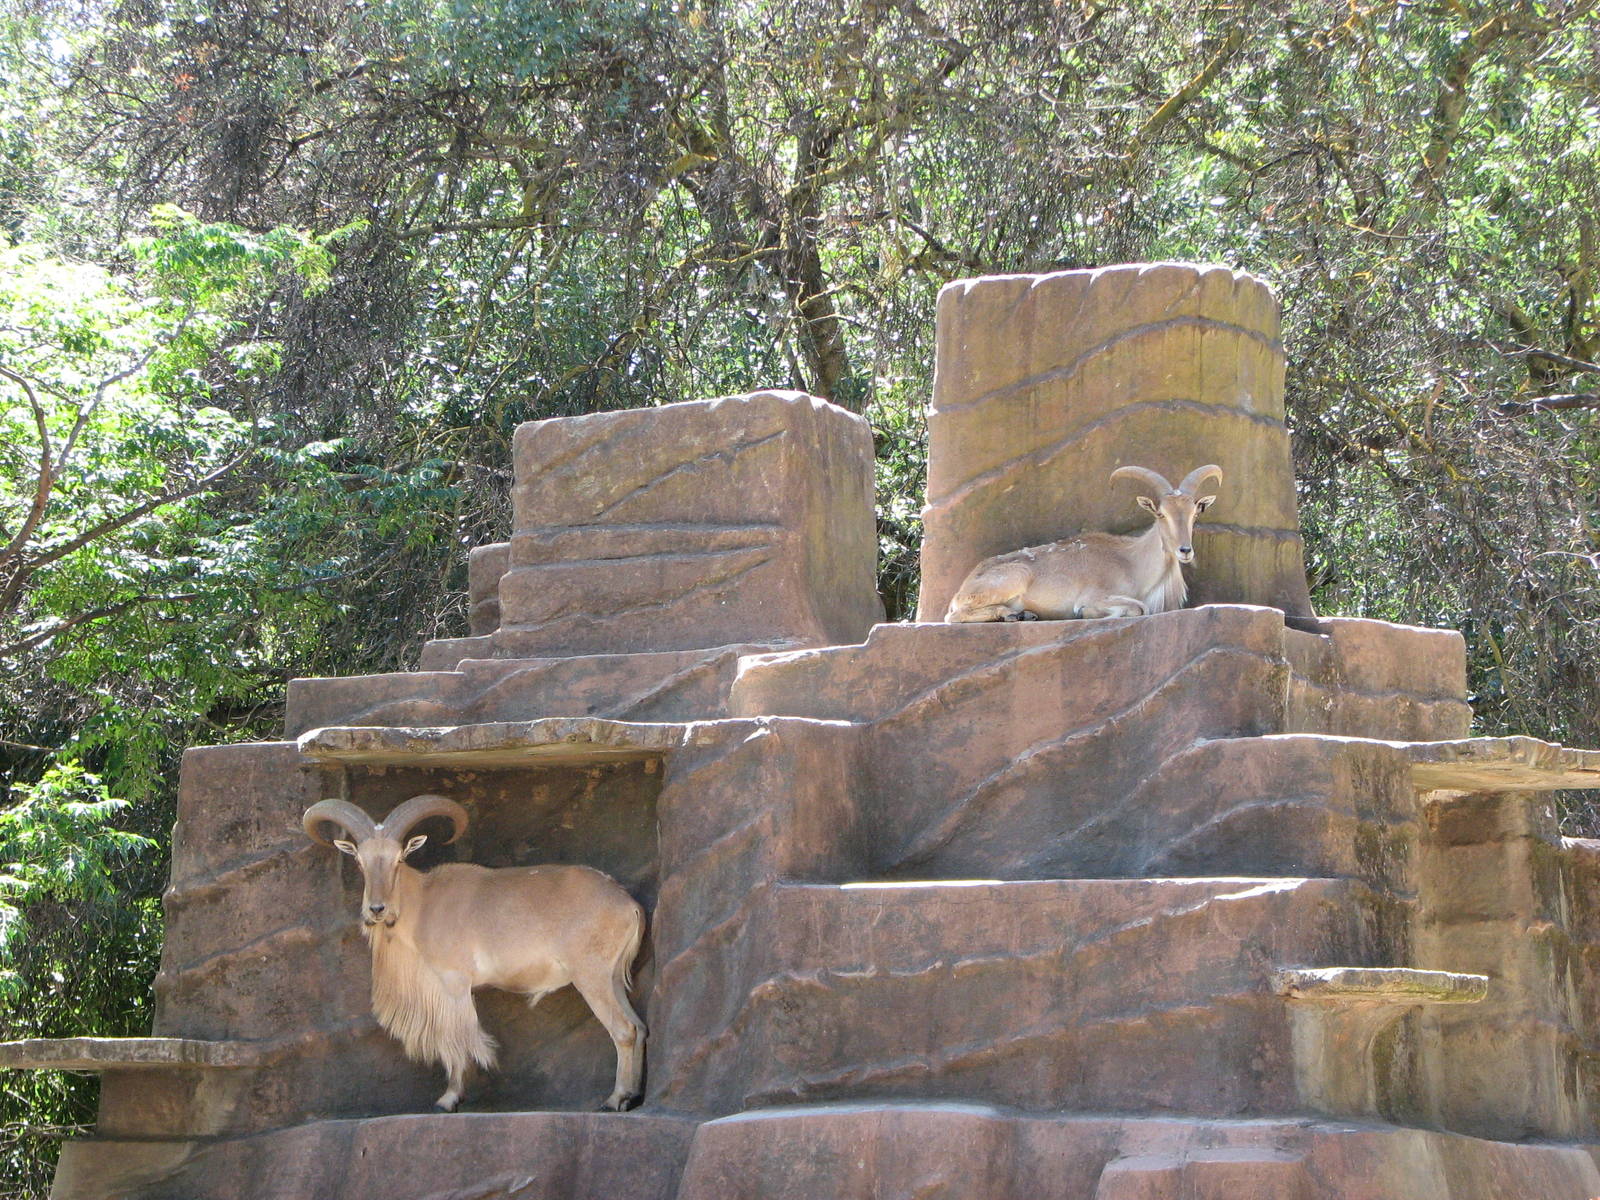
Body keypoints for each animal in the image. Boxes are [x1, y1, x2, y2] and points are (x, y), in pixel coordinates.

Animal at [302, 793, 646, 1113]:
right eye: (360, 862)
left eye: (398, 859)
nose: (377, 909)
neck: (423, 903)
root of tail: (628, 904)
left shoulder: (453, 983)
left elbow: (455, 1039)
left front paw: (449, 1099)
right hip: (613, 978)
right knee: (640, 1027)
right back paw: (632, 1096)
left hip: (592, 976)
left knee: (624, 1030)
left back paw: (616, 1099)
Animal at [944, 463, 1223, 622]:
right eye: (1161, 513)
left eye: (1195, 513)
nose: (1185, 550)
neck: (1132, 562)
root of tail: (965, 584)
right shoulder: (1097, 595)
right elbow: (1139, 608)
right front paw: (1086, 613)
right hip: (1014, 577)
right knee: (953, 615)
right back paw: (1009, 614)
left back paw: (1024, 614)